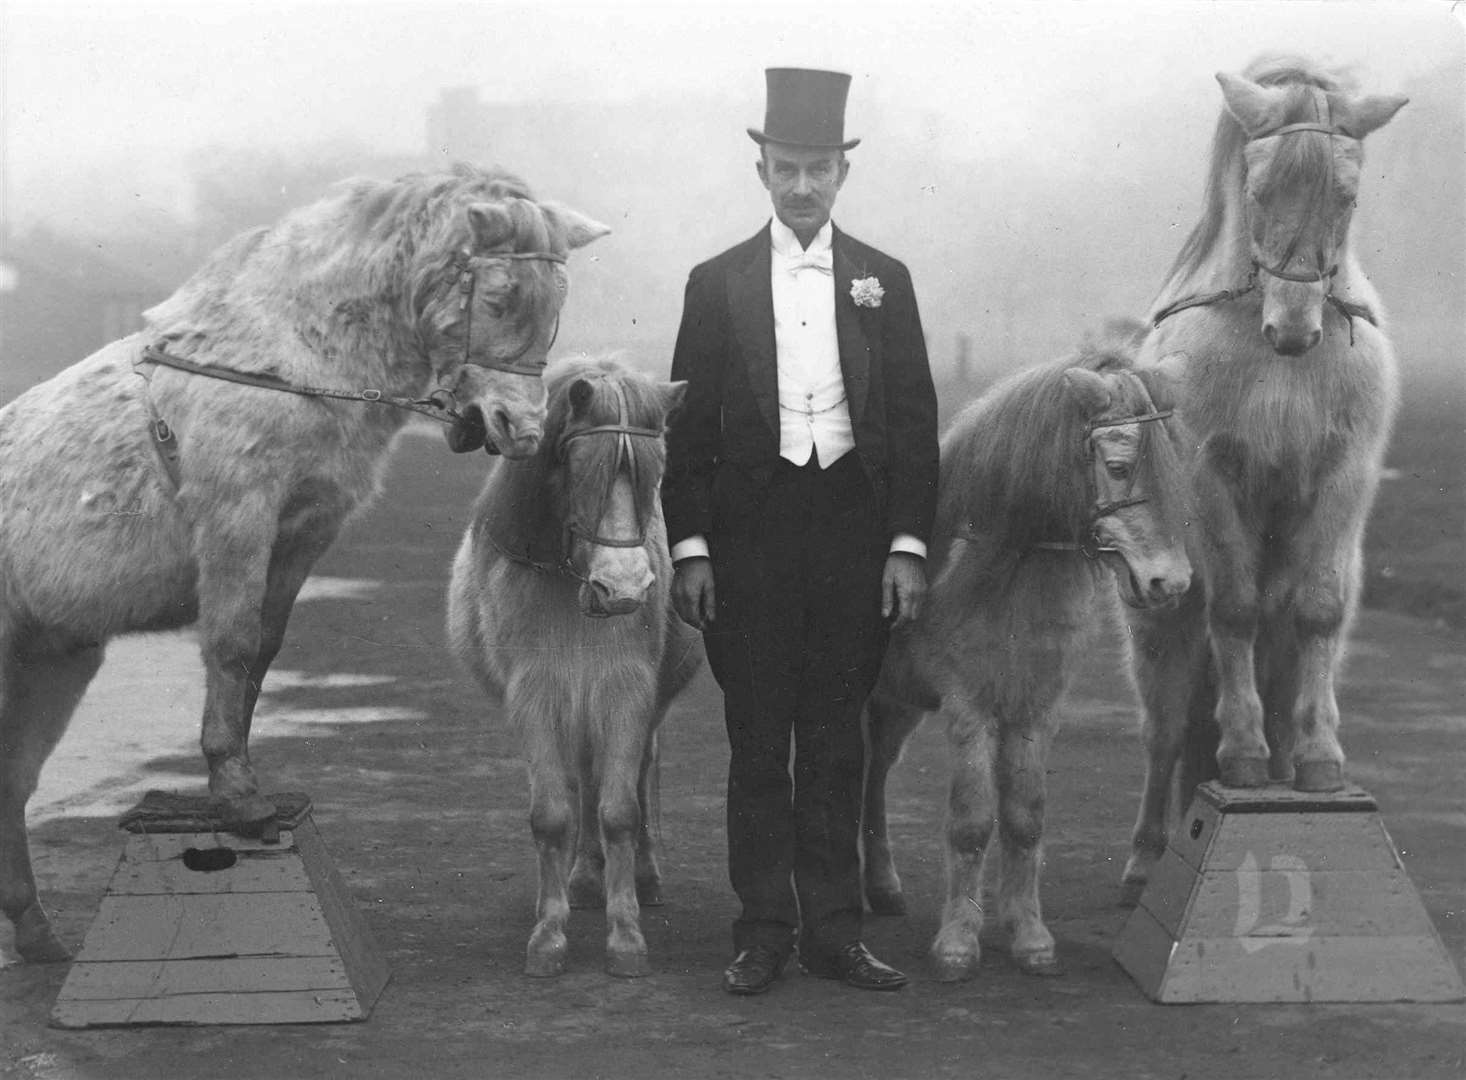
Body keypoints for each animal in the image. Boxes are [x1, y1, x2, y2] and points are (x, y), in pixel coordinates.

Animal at [0, 161, 606, 961]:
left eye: (559, 304)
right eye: (500, 296)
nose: (520, 430)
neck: (284, 360)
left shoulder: (302, 537)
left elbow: (261, 651)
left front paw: (240, 783)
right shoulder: (240, 518)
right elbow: (229, 645)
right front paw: (237, 797)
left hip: (52, 665)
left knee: (10, 783)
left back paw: (37, 934)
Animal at [445, 356, 697, 978]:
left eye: (657, 472)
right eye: (582, 470)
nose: (624, 588)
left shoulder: (628, 691)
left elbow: (621, 810)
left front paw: (626, 935)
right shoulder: (534, 695)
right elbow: (553, 814)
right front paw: (549, 934)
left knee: (634, 773)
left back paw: (641, 876)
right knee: (583, 777)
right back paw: (583, 877)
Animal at [856, 347, 1190, 978]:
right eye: (1117, 466)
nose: (1172, 583)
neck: (1001, 563)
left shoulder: (1035, 707)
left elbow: (1025, 817)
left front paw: (1028, 935)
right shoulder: (969, 708)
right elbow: (971, 823)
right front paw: (958, 943)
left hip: (895, 705)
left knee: (873, 773)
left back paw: (880, 886)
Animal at [1120, 54, 1407, 896]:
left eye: (1346, 196)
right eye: (1259, 192)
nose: (1294, 332)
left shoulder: (1344, 475)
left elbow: (1315, 611)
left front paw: (1316, 763)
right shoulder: (1215, 477)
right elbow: (1237, 611)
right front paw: (1242, 757)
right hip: (1158, 624)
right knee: (1166, 727)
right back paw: (1147, 855)